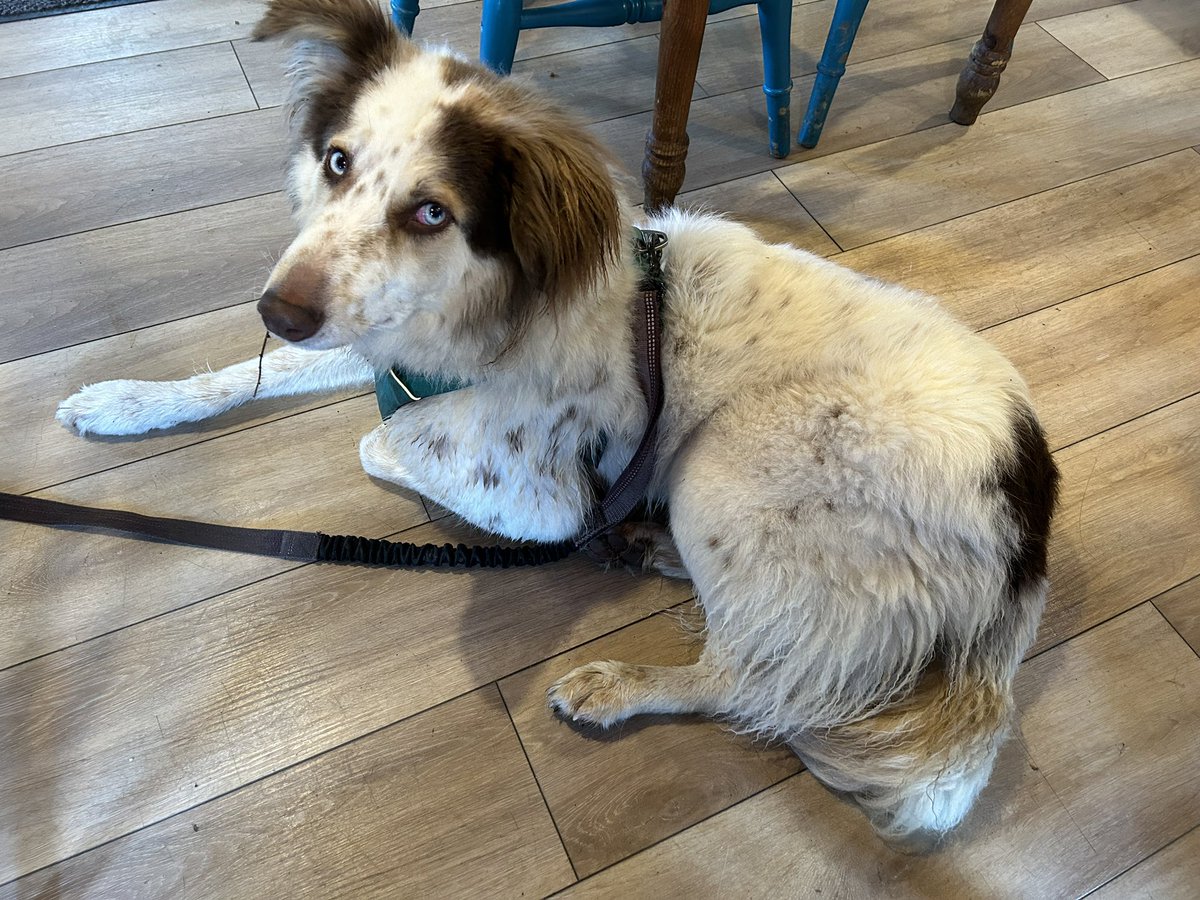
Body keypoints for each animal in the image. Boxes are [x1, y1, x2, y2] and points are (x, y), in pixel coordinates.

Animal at [56, 0, 1056, 844]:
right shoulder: (385, 340)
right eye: (337, 160)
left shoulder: (537, 495)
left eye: (432, 211)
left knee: (753, 682)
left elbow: (381, 439)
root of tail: (1030, 510)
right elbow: (242, 379)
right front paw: (125, 401)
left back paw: (622, 675)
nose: (279, 312)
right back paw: (649, 548)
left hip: (724, 469)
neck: (495, 311)